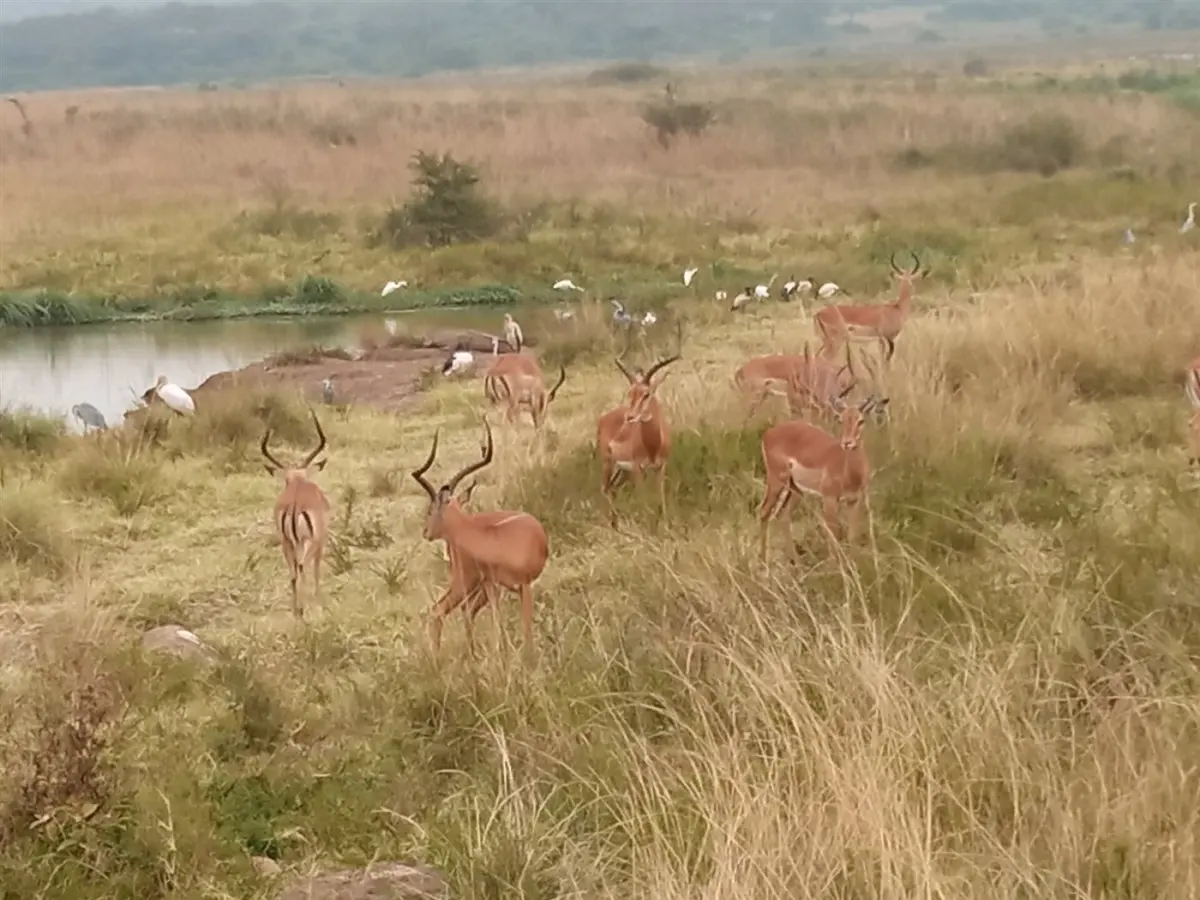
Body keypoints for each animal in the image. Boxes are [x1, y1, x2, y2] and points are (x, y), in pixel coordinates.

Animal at [260, 408, 332, 619]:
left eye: (285, 481)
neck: (298, 480)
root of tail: (294, 505)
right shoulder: (320, 541)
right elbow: (316, 569)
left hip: (287, 543)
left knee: (293, 574)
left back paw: (296, 610)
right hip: (308, 542)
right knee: (302, 567)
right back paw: (305, 607)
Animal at [410, 419, 549, 658]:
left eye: (430, 510)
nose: (426, 532)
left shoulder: (521, 586)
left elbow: (522, 628)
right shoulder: (493, 586)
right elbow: (500, 628)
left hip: (472, 585)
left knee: (456, 611)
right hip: (467, 583)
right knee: (442, 610)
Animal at [597, 325, 683, 526]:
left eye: (646, 393)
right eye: (631, 392)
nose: (630, 417)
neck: (652, 445)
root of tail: (603, 418)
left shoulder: (660, 467)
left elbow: (661, 497)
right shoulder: (638, 470)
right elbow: (643, 501)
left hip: (621, 471)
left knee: (611, 489)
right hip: (608, 463)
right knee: (604, 488)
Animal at [758, 395, 881, 564]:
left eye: (860, 420)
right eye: (841, 419)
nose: (847, 443)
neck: (850, 472)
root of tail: (769, 433)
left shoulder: (854, 501)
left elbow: (852, 535)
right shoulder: (829, 499)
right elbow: (834, 534)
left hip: (795, 489)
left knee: (783, 516)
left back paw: (797, 562)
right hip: (777, 481)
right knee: (763, 512)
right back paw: (763, 561)